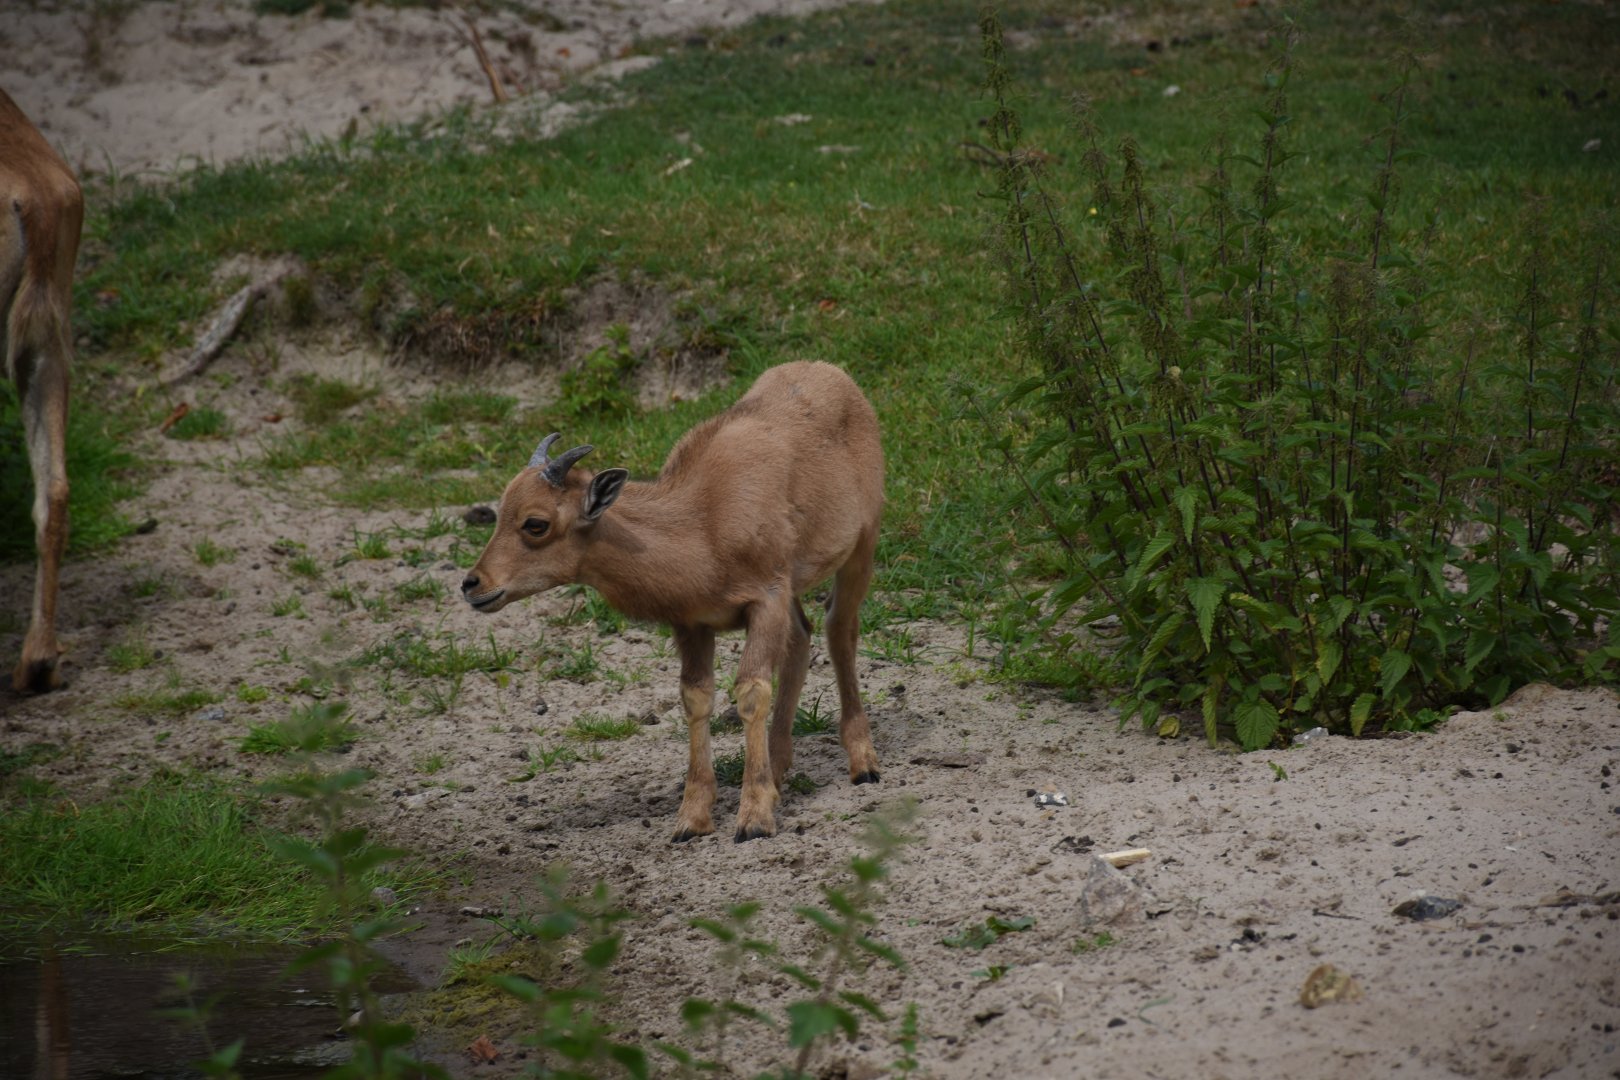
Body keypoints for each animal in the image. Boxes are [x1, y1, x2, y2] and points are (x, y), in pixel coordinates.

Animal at [462, 360, 885, 842]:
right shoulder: (693, 623)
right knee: (800, 638)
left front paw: (754, 817)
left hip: (862, 544)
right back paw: (778, 770)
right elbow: (695, 697)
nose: (474, 585)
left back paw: (862, 762)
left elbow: (751, 691)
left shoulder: (766, 597)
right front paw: (692, 819)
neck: (703, 524)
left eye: (536, 523)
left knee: (839, 630)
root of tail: (831, 372)